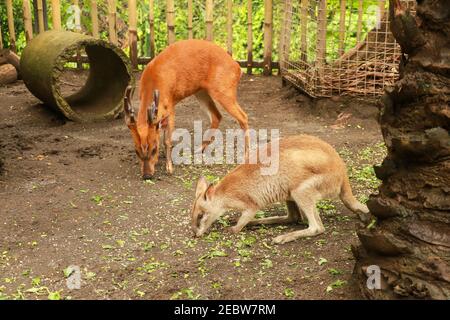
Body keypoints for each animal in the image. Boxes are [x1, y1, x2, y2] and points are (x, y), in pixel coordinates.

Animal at [124, 39, 250, 180]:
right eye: (136, 150)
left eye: (154, 149)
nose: (147, 175)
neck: (153, 82)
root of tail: (237, 67)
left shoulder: (170, 106)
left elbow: (167, 140)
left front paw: (169, 168)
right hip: (201, 91)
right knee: (217, 116)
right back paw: (199, 149)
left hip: (224, 90)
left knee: (243, 116)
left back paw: (246, 156)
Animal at [190, 134, 370, 244]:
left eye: (200, 216)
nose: (194, 235)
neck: (222, 195)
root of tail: (342, 174)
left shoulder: (249, 203)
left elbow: (246, 216)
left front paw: (233, 229)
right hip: (288, 191)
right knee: (293, 217)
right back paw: (260, 224)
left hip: (303, 189)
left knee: (316, 227)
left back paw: (280, 238)